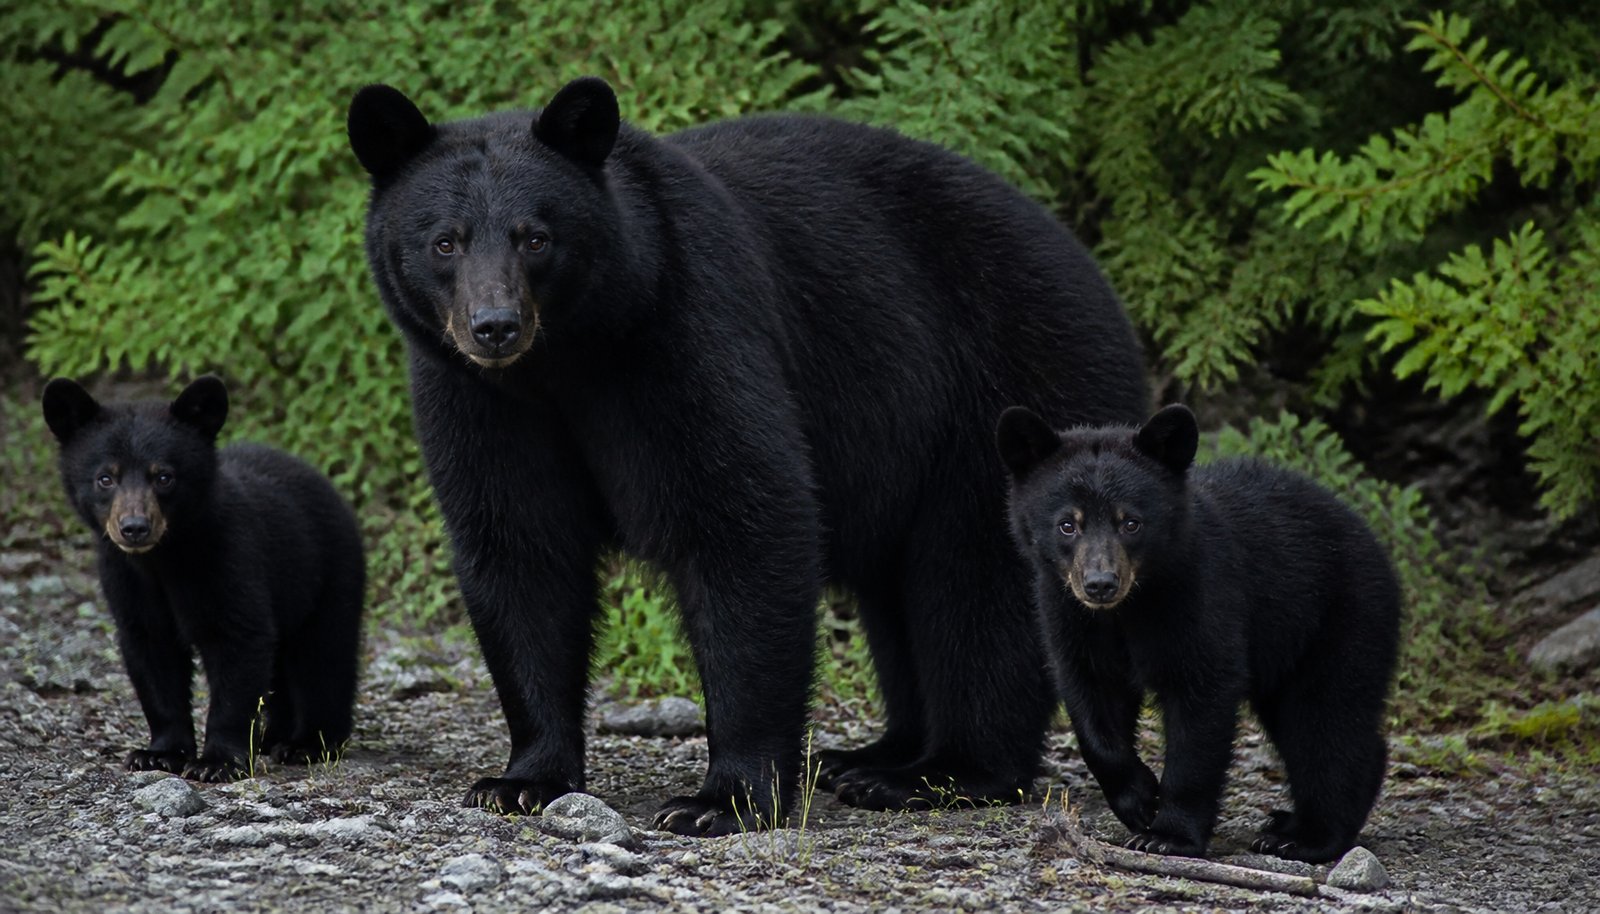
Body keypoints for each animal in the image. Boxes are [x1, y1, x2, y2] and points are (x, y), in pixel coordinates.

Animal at [42, 376, 366, 781]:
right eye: (105, 478)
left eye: (164, 476)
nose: (134, 527)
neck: (163, 559)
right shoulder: (125, 580)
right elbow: (152, 656)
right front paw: (158, 753)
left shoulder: (225, 558)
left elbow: (237, 642)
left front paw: (217, 762)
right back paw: (271, 737)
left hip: (329, 573)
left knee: (324, 655)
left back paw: (308, 743)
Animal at [346, 76, 1149, 836]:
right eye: (444, 241)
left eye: (535, 238)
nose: (494, 326)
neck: (566, 362)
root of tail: (1098, 279)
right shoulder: (477, 400)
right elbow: (519, 552)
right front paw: (521, 779)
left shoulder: (687, 328)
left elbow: (743, 522)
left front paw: (720, 800)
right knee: (897, 591)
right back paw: (869, 756)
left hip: (1010, 390)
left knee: (977, 586)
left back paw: (938, 773)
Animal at [996, 403, 1401, 863]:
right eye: (1068, 524)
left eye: (1131, 523)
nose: (1100, 584)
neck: (1129, 608)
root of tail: (1372, 539)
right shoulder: (1069, 615)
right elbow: (1091, 699)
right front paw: (1140, 798)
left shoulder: (1200, 597)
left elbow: (1201, 702)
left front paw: (1168, 833)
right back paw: (1288, 823)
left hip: (1341, 616)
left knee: (1326, 719)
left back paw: (1309, 836)